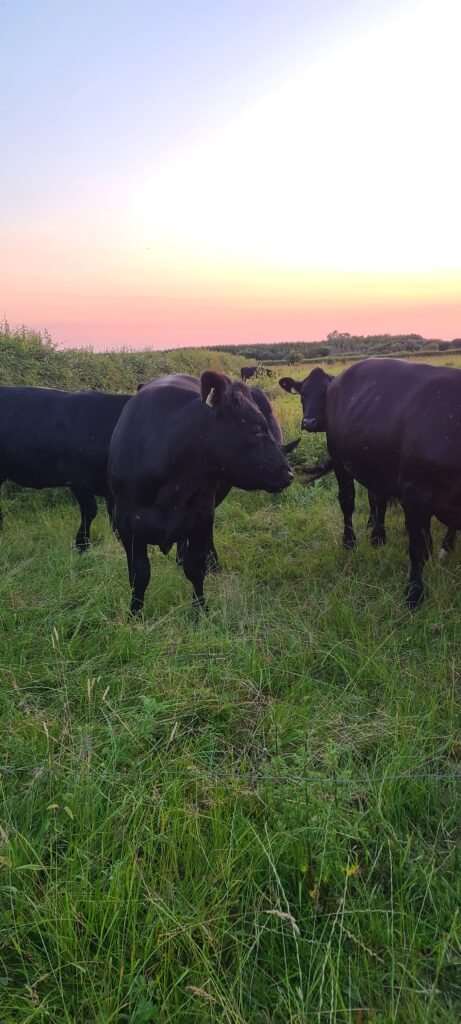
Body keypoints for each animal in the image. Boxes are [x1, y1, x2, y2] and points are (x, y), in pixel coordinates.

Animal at [108, 371, 294, 616]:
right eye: (256, 427)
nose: (289, 473)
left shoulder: (201, 517)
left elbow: (195, 568)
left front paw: (199, 612)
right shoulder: (126, 524)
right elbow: (139, 575)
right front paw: (134, 615)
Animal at [281, 359, 461, 608]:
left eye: (321, 393)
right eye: (302, 394)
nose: (309, 422)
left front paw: (443, 550)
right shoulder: (415, 493)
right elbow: (417, 548)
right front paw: (414, 595)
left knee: (378, 499)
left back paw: (378, 536)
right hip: (340, 460)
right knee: (347, 501)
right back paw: (350, 542)